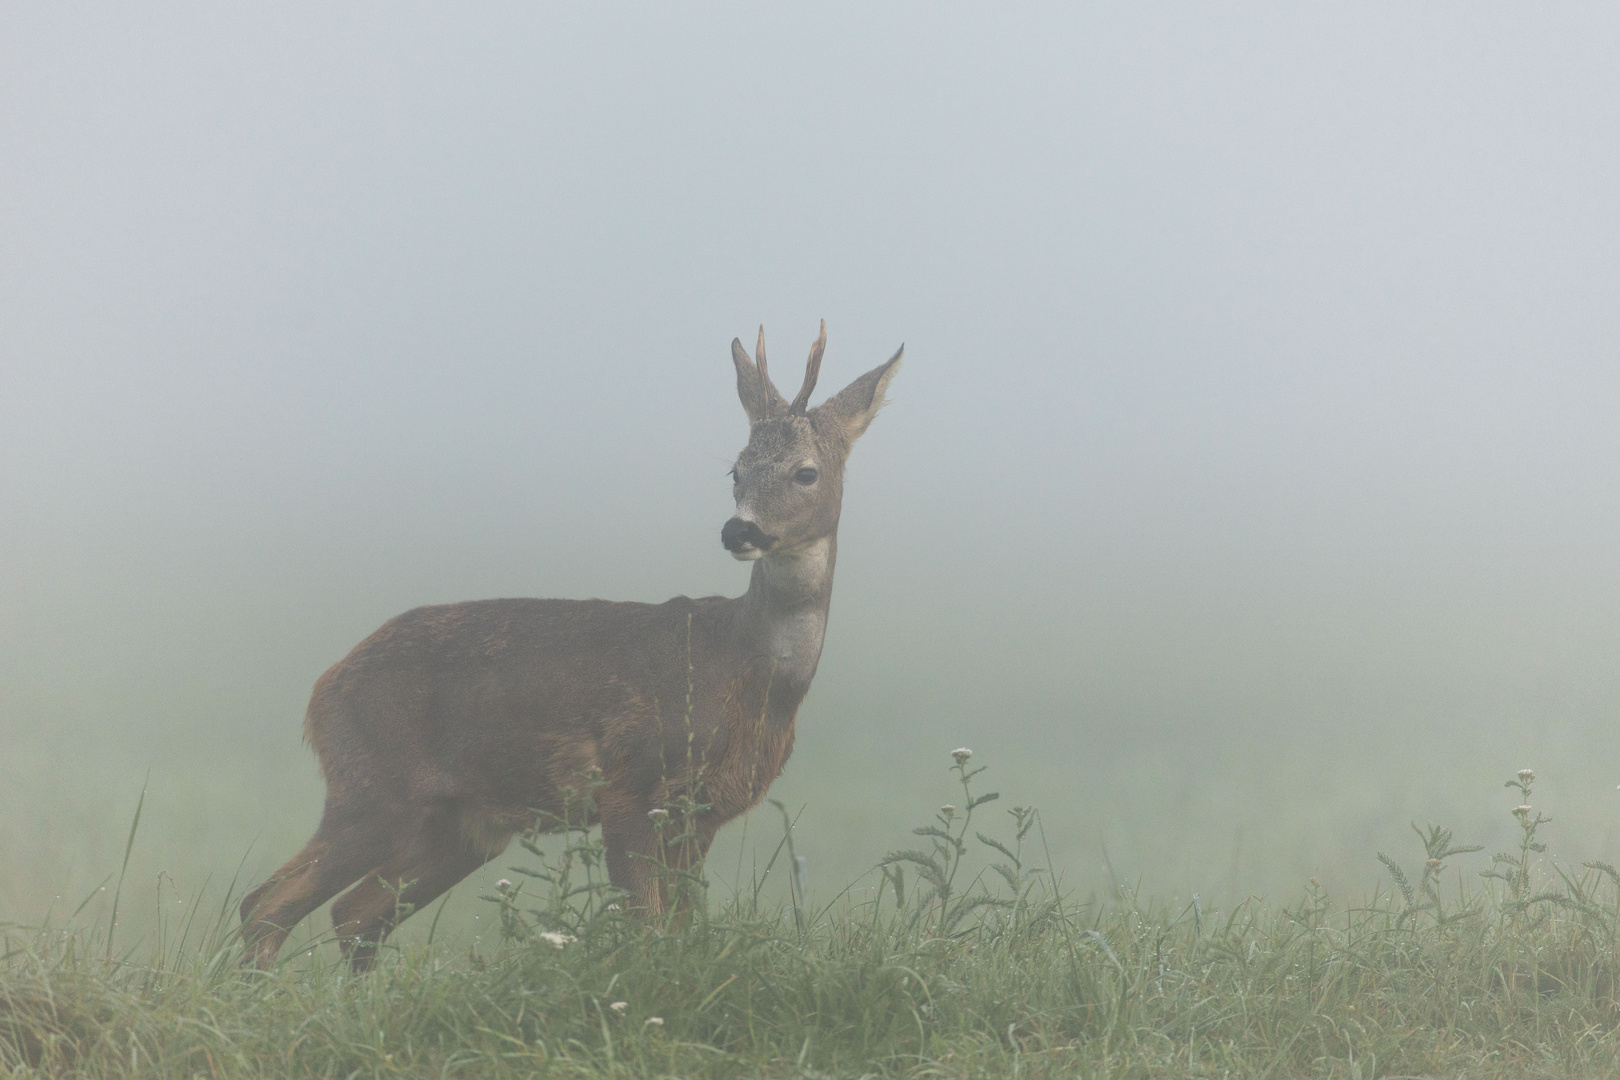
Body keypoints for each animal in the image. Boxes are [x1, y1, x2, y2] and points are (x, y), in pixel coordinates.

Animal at [238, 323, 900, 971]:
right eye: (735, 470)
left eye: (805, 472)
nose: (740, 530)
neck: (745, 667)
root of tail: (321, 690)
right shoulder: (629, 784)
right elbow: (648, 931)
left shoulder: (704, 811)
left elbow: (680, 931)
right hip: (372, 785)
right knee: (267, 903)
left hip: (458, 824)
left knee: (353, 916)